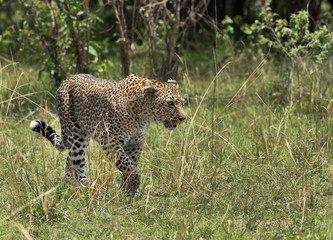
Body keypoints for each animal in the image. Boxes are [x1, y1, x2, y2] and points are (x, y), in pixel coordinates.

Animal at [29, 73, 185, 195]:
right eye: (170, 103)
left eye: (182, 102)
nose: (183, 118)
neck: (143, 115)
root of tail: (66, 80)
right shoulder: (110, 141)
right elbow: (130, 169)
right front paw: (132, 187)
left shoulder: (135, 144)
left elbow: (130, 166)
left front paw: (126, 192)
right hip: (76, 135)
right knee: (76, 162)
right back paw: (84, 187)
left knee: (69, 160)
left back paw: (70, 187)